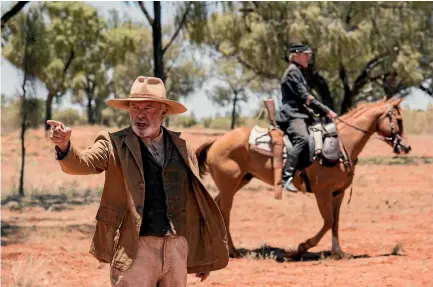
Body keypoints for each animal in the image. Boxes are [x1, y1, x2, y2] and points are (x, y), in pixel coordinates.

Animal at [197, 97, 410, 258]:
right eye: (399, 120)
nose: (407, 147)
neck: (342, 143)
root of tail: (217, 140)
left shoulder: (337, 193)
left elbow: (336, 222)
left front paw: (338, 252)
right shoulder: (322, 191)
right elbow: (328, 221)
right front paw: (300, 249)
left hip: (239, 182)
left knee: (217, 206)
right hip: (229, 186)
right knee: (225, 212)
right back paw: (232, 251)